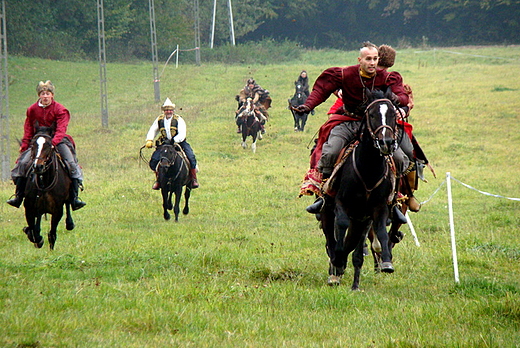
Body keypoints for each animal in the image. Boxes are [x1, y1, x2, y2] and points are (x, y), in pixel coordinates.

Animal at [318, 88, 400, 290]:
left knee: (354, 244)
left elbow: (380, 233)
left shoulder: (376, 210)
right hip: (327, 211)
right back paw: (335, 269)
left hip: (360, 220)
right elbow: (341, 226)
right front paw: (338, 261)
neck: (368, 168)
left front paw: (386, 263)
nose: (386, 142)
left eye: (393, 114)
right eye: (372, 115)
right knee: (331, 237)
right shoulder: (341, 203)